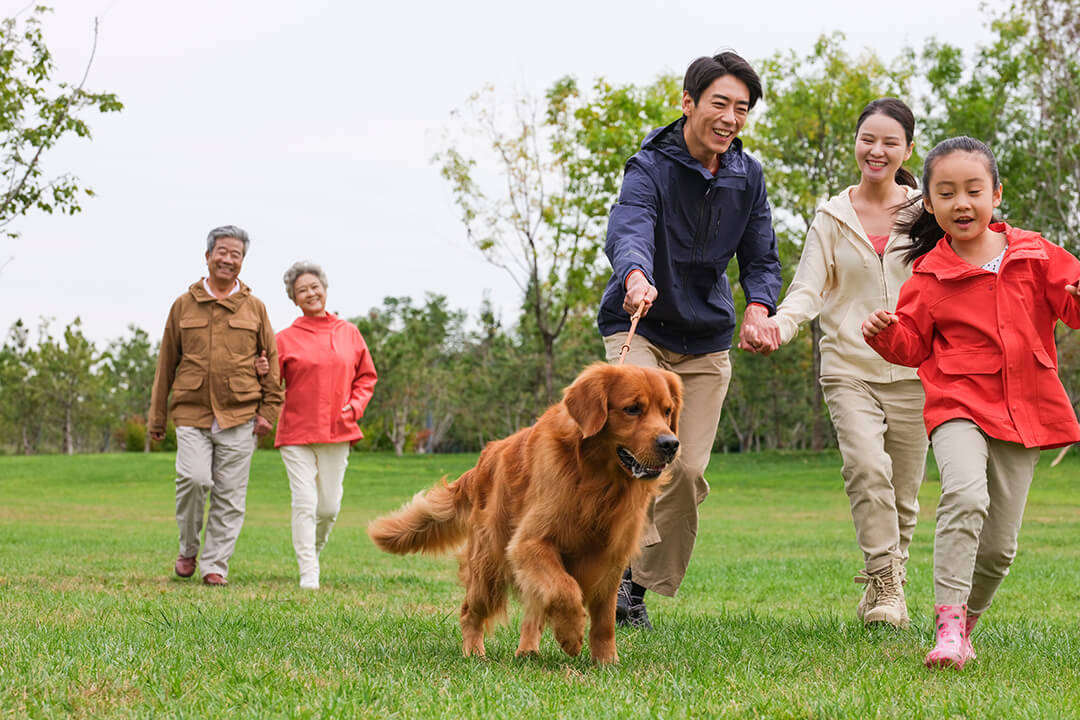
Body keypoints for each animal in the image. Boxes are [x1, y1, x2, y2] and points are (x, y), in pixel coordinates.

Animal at [367, 362, 678, 669]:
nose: (671, 444)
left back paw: (527, 650)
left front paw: (606, 661)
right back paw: (475, 652)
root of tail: (481, 462)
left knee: (533, 609)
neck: (597, 481)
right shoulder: (530, 543)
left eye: (667, 411)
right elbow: (565, 589)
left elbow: (603, 620)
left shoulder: (610, 557)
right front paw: (571, 633)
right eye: (632, 409)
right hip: (488, 566)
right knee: (470, 611)